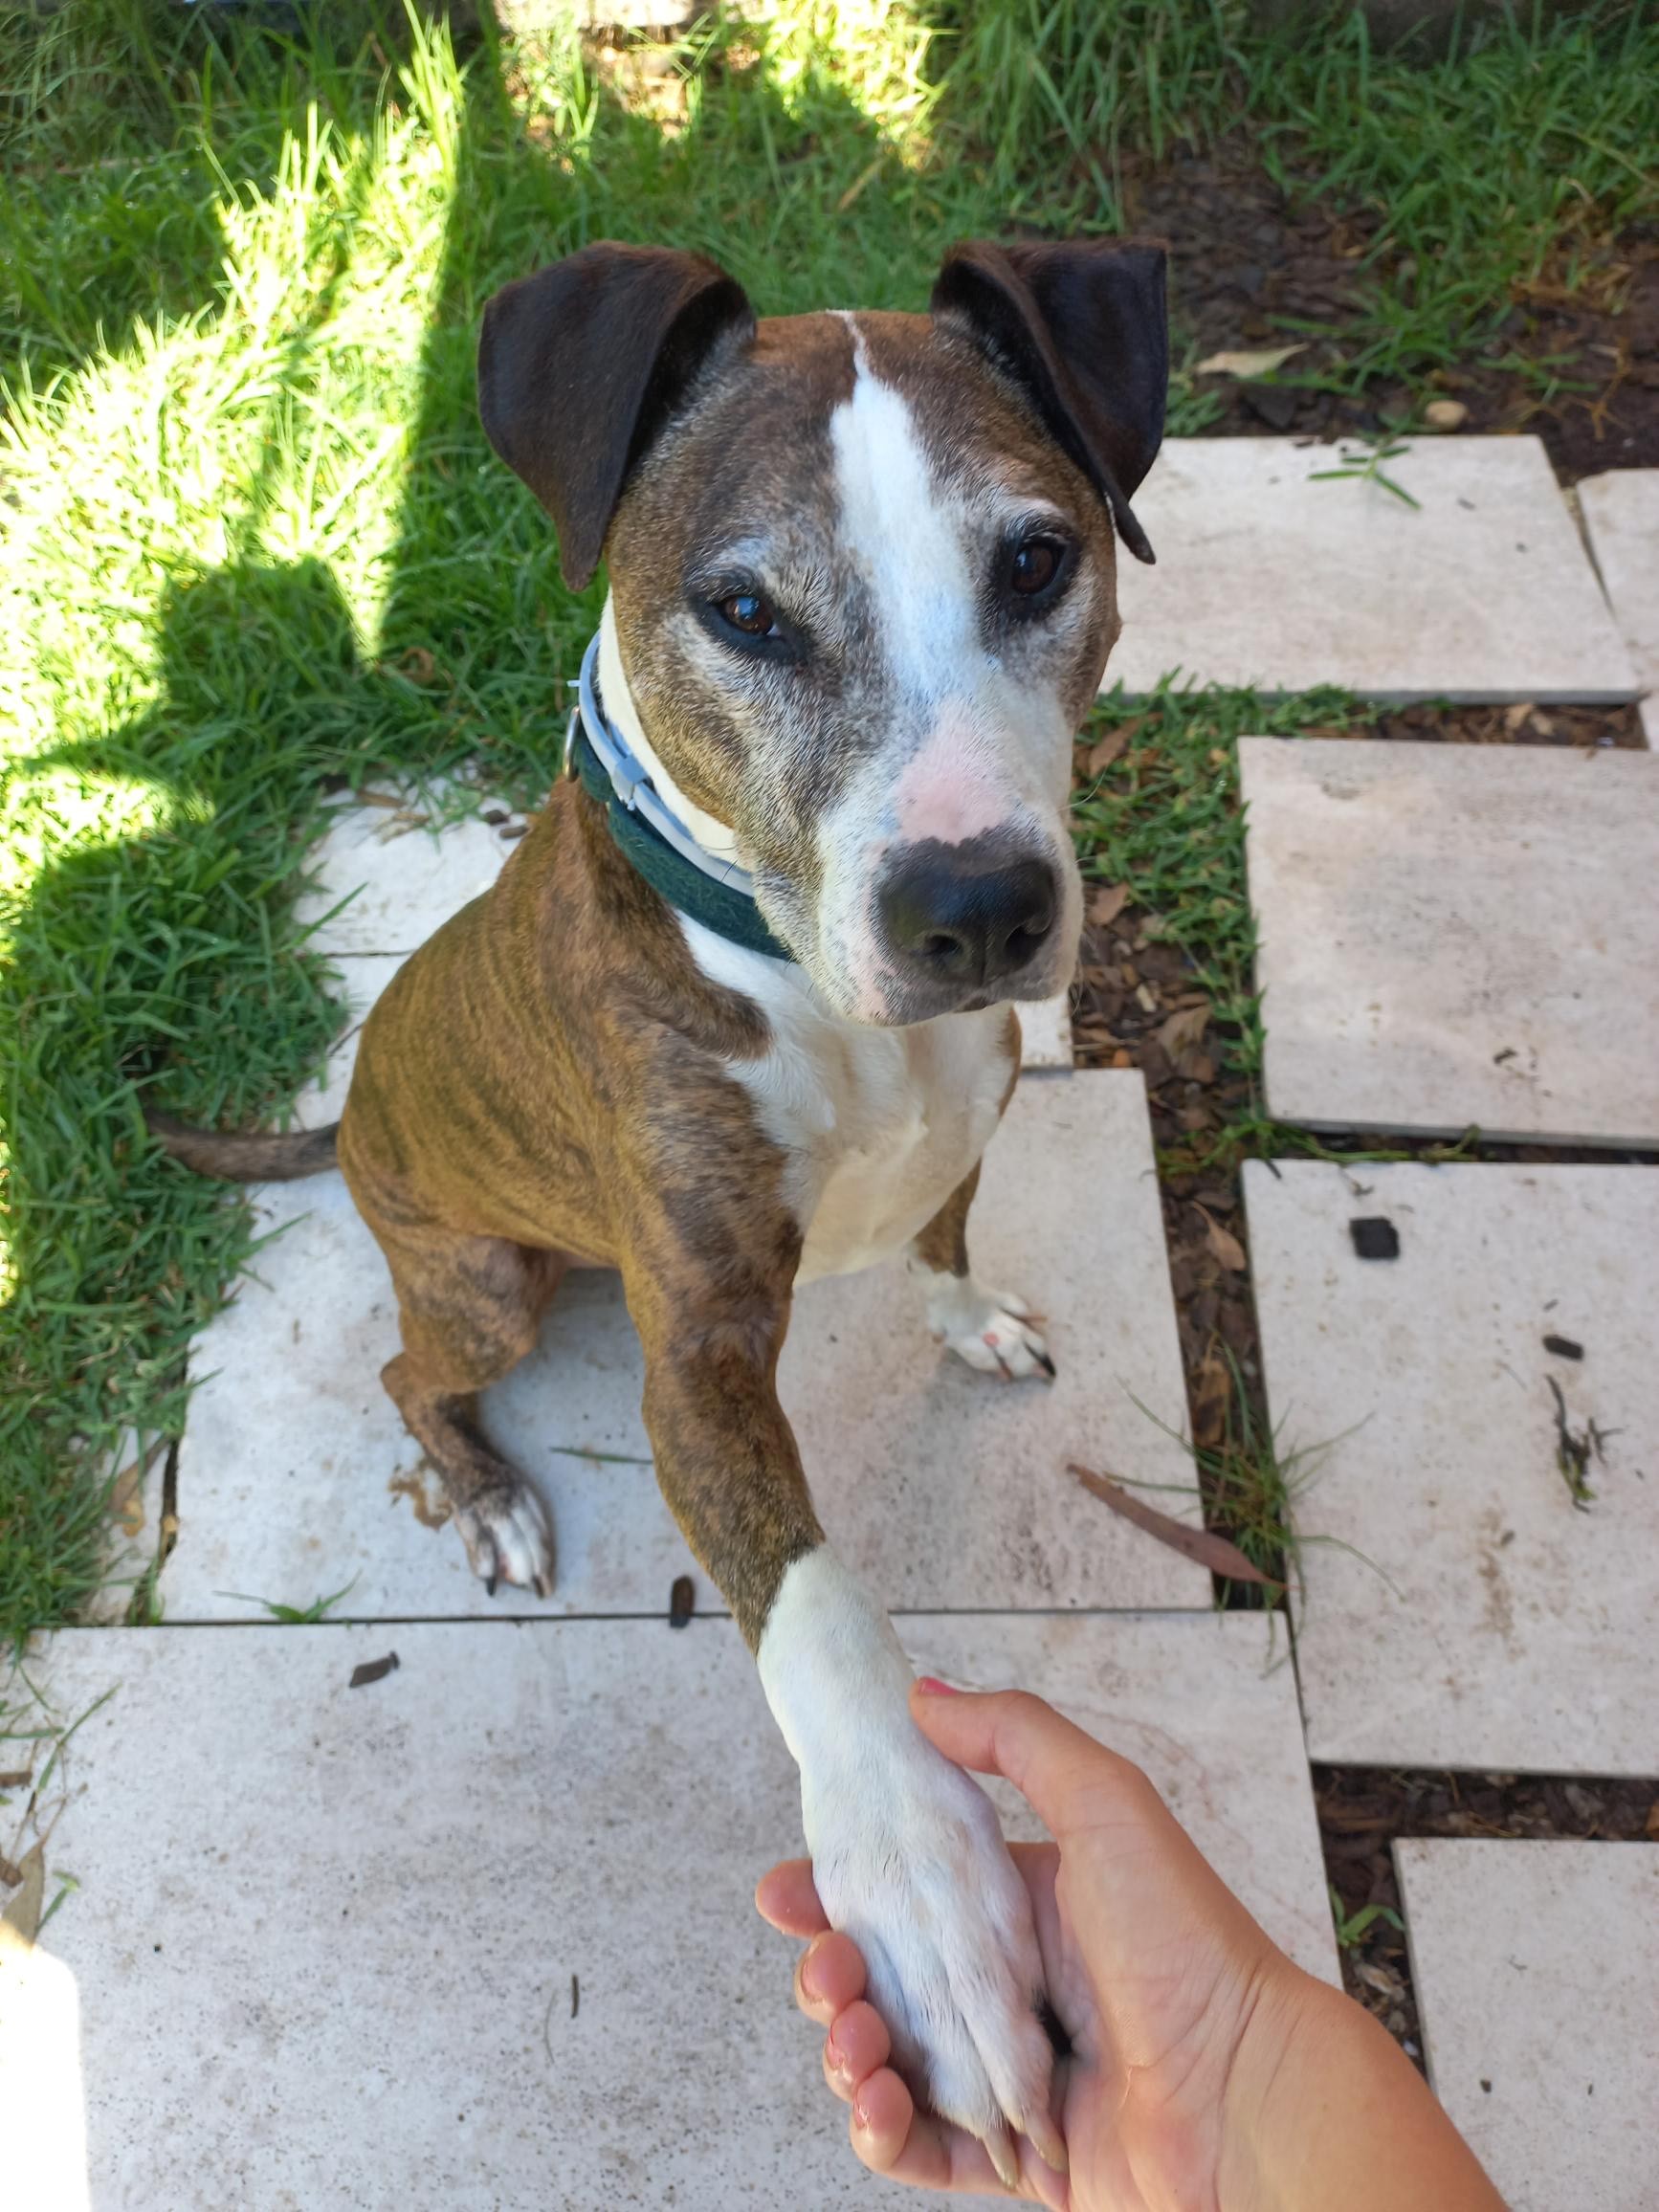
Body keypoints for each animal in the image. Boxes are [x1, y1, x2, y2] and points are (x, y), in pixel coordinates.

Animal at [152, 236, 1167, 2180]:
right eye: (746, 611)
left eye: (1033, 560)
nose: (976, 909)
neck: (811, 994)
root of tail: (348, 1115)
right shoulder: (694, 1359)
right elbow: (818, 1611)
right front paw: (925, 1893)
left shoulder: (973, 1111)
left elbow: (942, 1230)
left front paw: (969, 1313)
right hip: (485, 1281)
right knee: (407, 1371)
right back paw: (481, 1497)